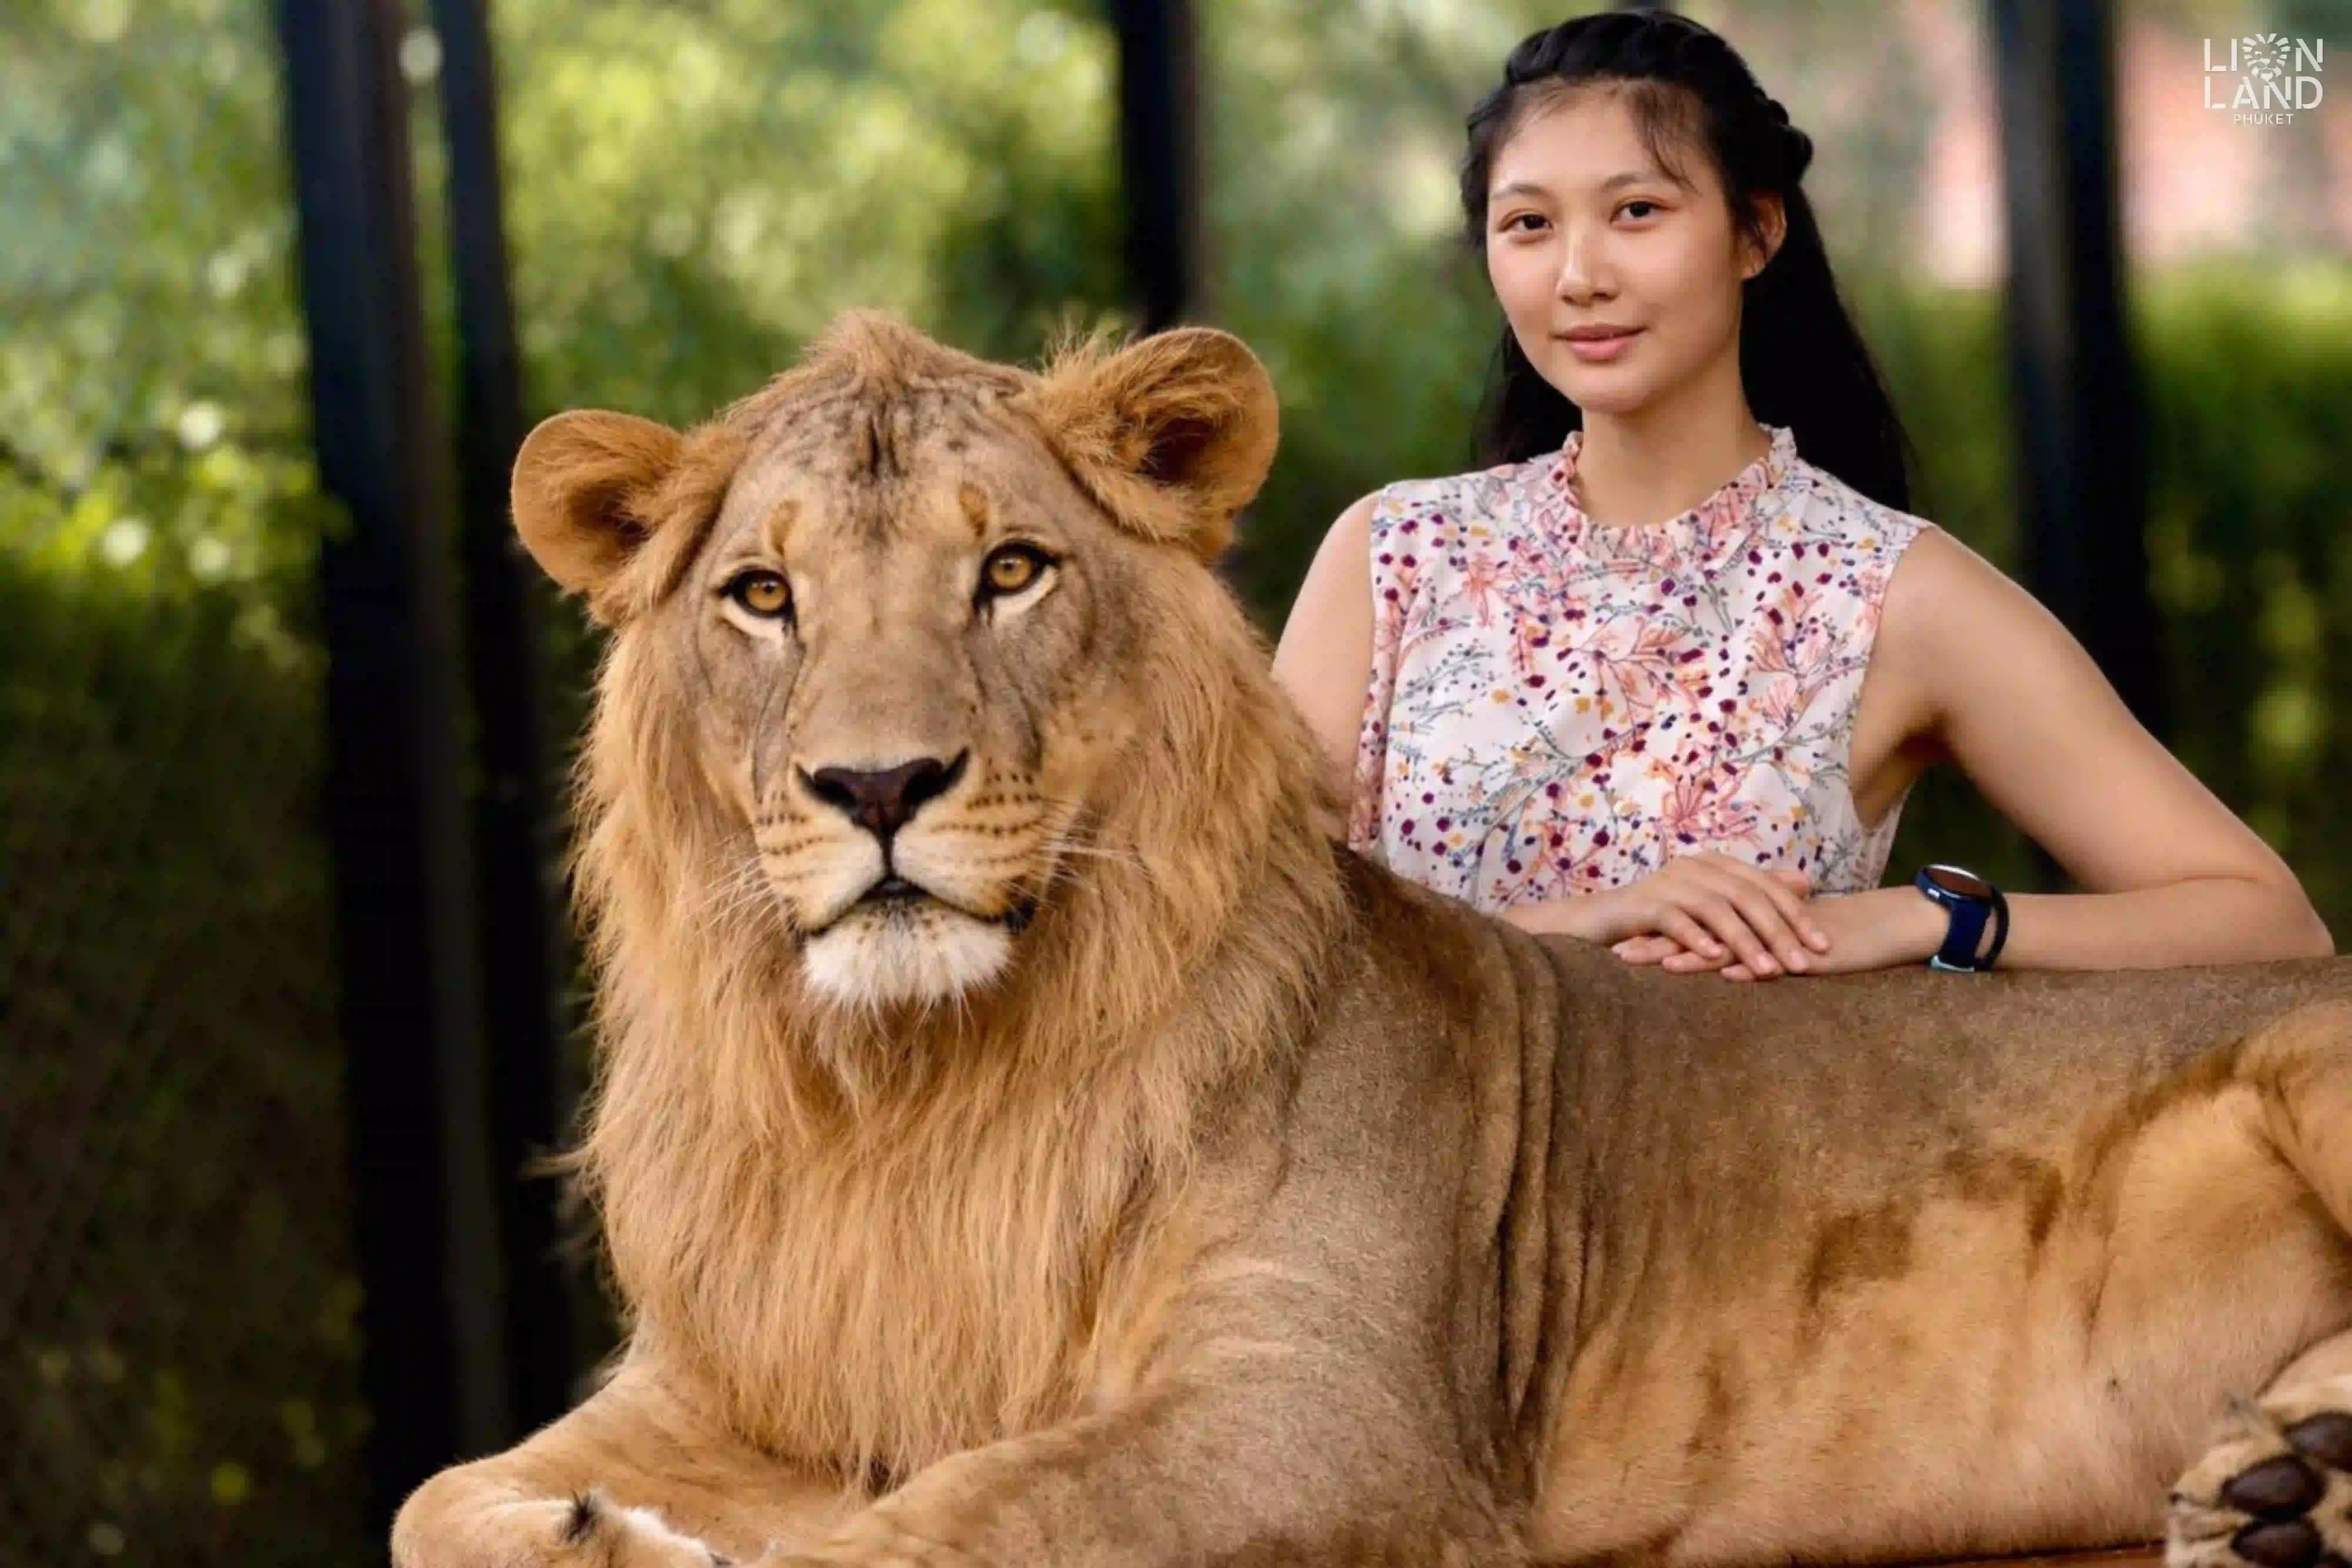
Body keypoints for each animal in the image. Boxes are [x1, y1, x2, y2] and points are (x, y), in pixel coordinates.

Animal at [392, 311, 2352, 1568]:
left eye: (1011, 570)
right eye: (762, 595)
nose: (877, 783)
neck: (918, 1091)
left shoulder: (1331, 1415)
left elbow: (954, 1522)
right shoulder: (739, 1375)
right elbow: (434, 1504)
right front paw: (603, 1535)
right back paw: (2287, 1486)